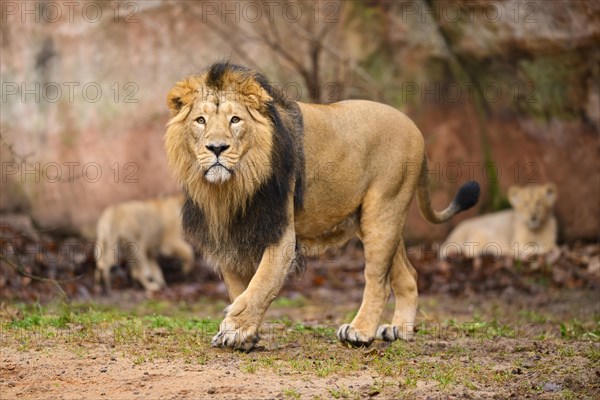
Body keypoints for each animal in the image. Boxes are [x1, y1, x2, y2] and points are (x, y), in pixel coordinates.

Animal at [163, 62, 478, 350]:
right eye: (200, 120)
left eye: (235, 120)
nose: (217, 148)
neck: (231, 187)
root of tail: (414, 127)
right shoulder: (228, 234)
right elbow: (239, 289)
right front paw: (246, 334)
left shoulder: (281, 233)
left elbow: (260, 285)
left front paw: (234, 330)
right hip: (376, 218)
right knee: (408, 274)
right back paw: (399, 329)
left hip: (384, 210)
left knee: (378, 279)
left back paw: (360, 332)